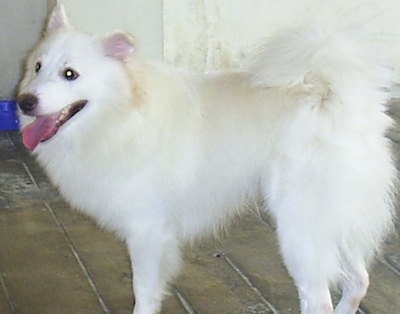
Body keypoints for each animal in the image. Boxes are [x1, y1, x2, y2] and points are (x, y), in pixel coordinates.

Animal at [18, 3, 396, 314]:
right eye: (37, 67)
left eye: (70, 74)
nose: (24, 102)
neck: (121, 114)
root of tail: (335, 97)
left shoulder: (147, 231)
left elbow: (143, 292)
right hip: (335, 225)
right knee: (358, 281)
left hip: (300, 231)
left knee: (320, 300)